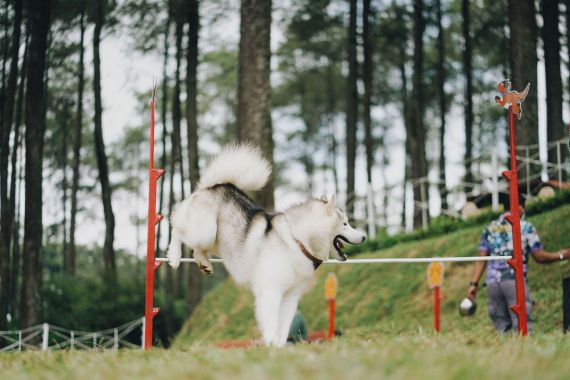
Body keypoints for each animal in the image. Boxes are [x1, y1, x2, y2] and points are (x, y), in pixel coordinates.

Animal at [166, 144, 366, 346]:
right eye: (345, 224)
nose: (364, 237)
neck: (297, 242)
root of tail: (216, 186)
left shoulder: (290, 297)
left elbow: (283, 329)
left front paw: (279, 347)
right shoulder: (271, 292)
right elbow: (271, 324)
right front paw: (270, 347)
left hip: (214, 240)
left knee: (197, 250)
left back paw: (204, 264)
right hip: (204, 231)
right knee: (176, 226)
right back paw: (174, 256)